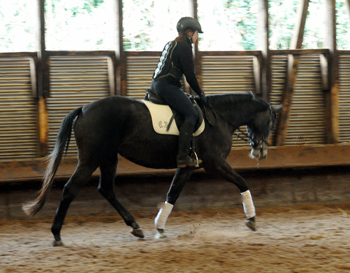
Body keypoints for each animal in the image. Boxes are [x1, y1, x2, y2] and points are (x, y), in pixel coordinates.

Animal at [22, 91, 282, 244]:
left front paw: (160, 227)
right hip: (91, 159)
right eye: (270, 121)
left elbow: (172, 194)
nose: (261, 152)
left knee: (106, 189)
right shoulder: (215, 163)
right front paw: (252, 219)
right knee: (70, 189)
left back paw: (136, 227)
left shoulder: (188, 167)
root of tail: (84, 108)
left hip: (108, 158)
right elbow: (242, 182)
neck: (218, 118)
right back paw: (56, 234)